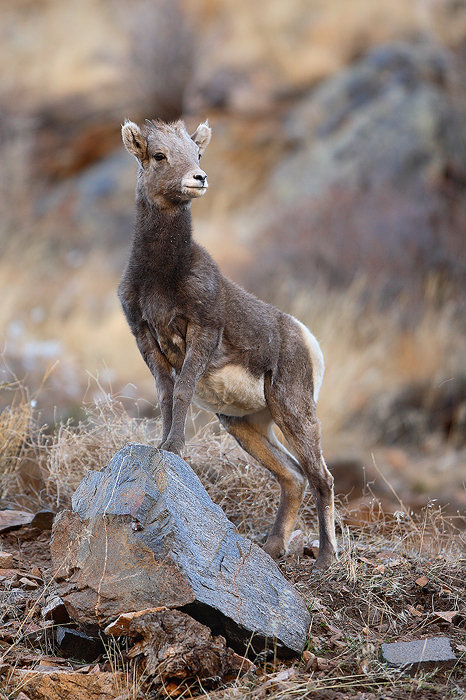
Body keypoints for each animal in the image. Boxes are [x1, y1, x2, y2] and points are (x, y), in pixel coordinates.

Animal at [119, 118, 337, 568]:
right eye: (159, 155)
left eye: (197, 153)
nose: (198, 179)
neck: (162, 275)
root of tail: (307, 341)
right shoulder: (145, 337)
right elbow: (165, 394)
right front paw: (161, 444)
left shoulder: (202, 331)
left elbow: (182, 390)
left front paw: (174, 448)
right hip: (245, 426)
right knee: (293, 476)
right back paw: (271, 548)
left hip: (293, 412)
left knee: (320, 477)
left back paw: (326, 559)